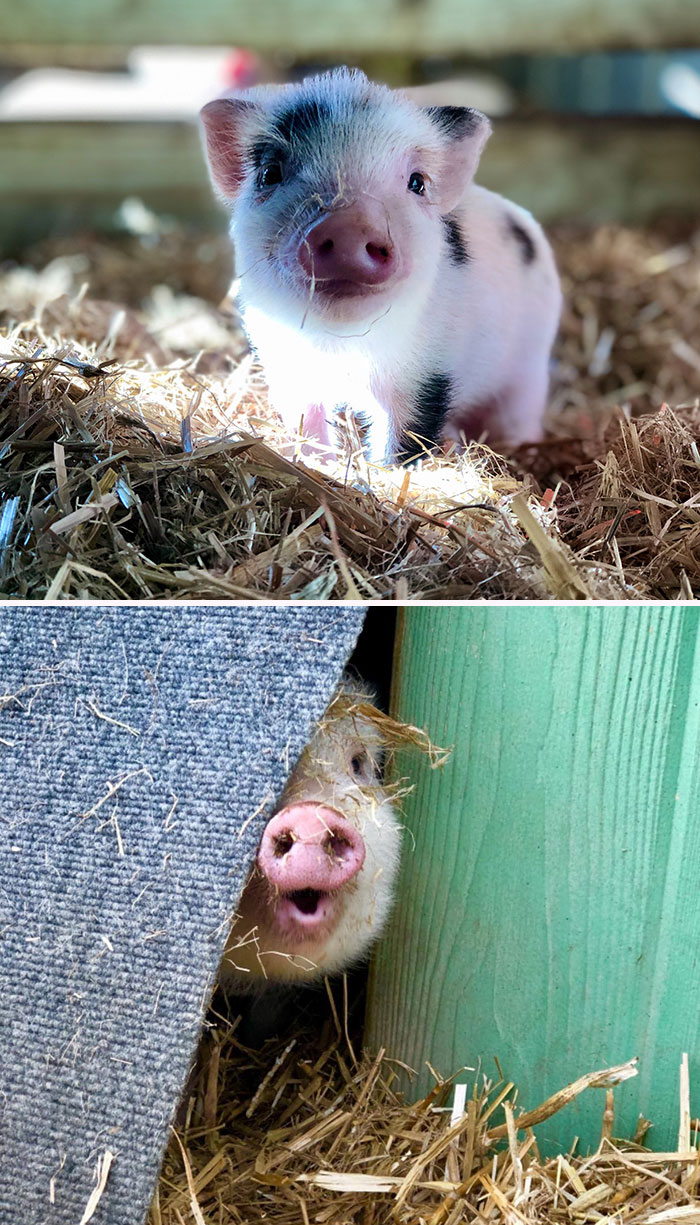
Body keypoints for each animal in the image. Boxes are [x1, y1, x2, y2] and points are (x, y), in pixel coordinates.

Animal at [200, 67, 562, 464]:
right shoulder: (286, 362)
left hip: (530, 362)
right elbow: (307, 423)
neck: (340, 346)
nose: (349, 226)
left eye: (417, 182)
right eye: (270, 173)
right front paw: (317, 463)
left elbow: (406, 436)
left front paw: (387, 471)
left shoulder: (428, 372)